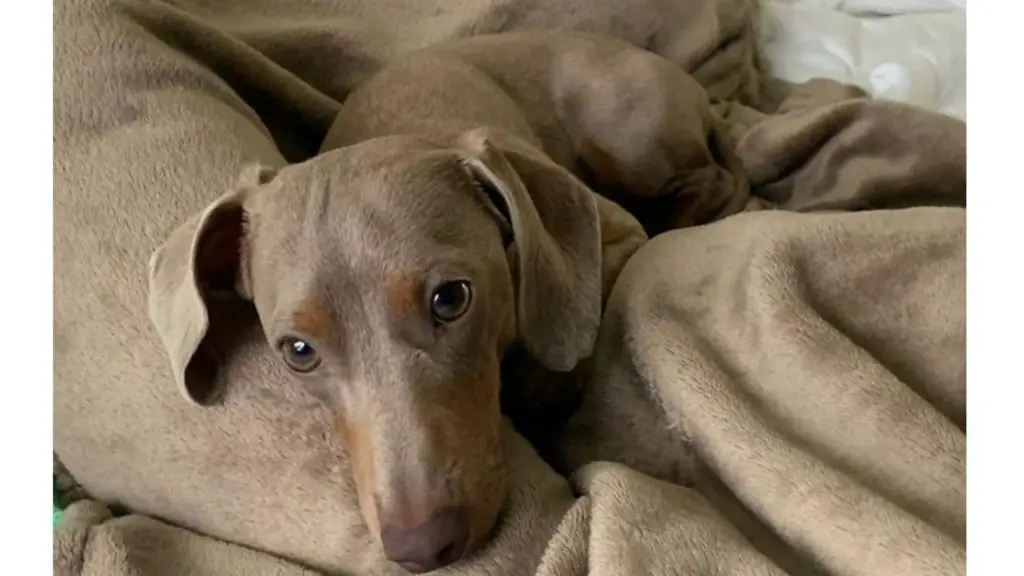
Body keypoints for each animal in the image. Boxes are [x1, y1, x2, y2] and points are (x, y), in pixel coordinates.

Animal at [148, 30, 749, 569]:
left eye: (450, 298)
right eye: (298, 351)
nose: (422, 548)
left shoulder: (619, 233)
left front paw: (547, 382)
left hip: (625, 134)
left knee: (712, 181)